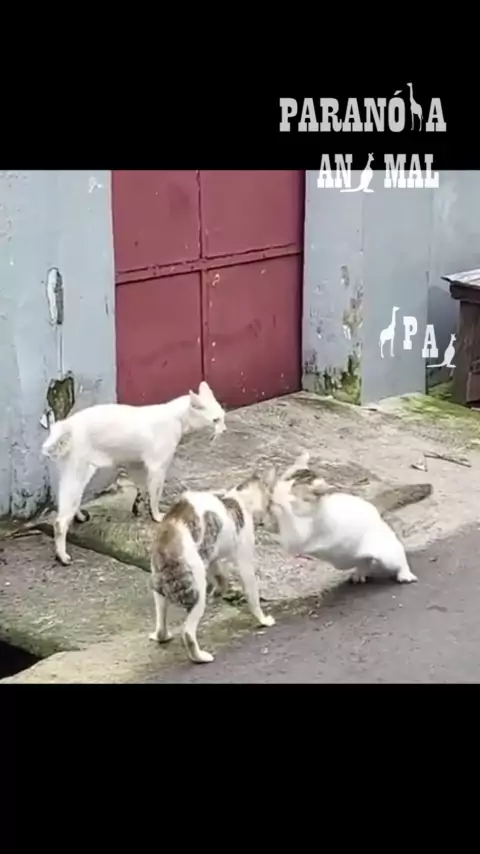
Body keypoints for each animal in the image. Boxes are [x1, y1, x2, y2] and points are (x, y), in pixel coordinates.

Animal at [41, 381, 226, 566]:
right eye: (215, 420)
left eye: (223, 418)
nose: (224, 430)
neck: (177, 418)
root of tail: (66, 424)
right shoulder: (158, 468)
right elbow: (155, 495)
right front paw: (156, 516)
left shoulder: (135, 464)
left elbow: (142, 489)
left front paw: (138, 506)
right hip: (78, 473)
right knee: (60, 521)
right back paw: (62, 556)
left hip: (71, 475)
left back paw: (78, 516)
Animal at [149, 472, 275, 664]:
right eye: (269, 500)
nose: (270, 510)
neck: (238, 497)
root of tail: (167, 539)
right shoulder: (244, 560)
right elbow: (252, 595)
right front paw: (263, 619)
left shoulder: (211, 556)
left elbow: (222, 577)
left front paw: (218, 592)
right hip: (195, 587)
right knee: (188, 632)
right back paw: (200, 657)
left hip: (160, 587)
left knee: (161, 620)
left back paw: (161, 636)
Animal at [264, 452, 423, 585]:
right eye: (285, 479)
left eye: (293, 491)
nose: (275, 494)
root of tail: (374, 510)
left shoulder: (301, 530)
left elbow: (292, 529)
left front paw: (276, 503)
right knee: (365, 561)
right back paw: (360, 573)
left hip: (386, 552)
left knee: (397, 558)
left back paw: (404, 573)